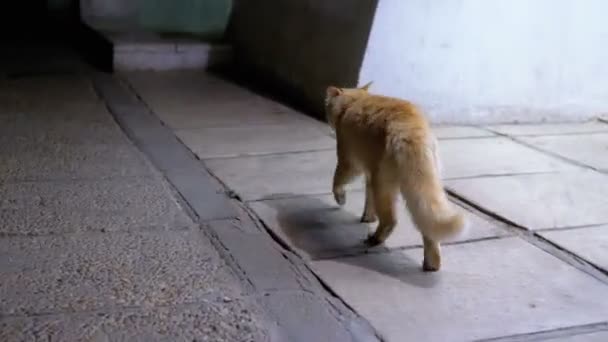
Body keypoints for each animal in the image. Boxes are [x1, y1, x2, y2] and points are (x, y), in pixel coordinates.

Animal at [326, 83, 468, 272]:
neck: (354, 101)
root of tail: (409, 128)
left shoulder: (349, 161)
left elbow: (337, 181)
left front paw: (341, 199)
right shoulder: (370, 171)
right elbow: (368, 199)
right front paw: (367, 217)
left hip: (384, 183)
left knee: (390, 220)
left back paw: (374, 239)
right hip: (416, 188)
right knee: (428, 229)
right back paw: (431, 264)